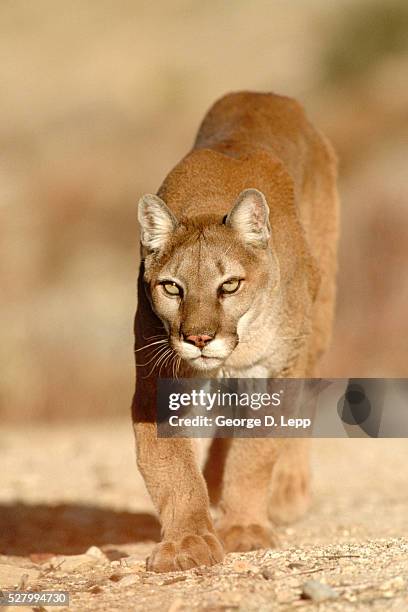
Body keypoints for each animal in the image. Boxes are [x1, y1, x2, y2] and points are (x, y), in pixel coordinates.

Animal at [131, 92, 338, 572]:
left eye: (229, 285)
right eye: (172, 287)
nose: (199, 339)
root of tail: (266, 95)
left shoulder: (275, 370)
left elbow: (257, 451)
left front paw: (244, 529)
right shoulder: (157, 380)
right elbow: (172, 467)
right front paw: (188, 542)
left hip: (318, 322)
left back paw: (286, 491)